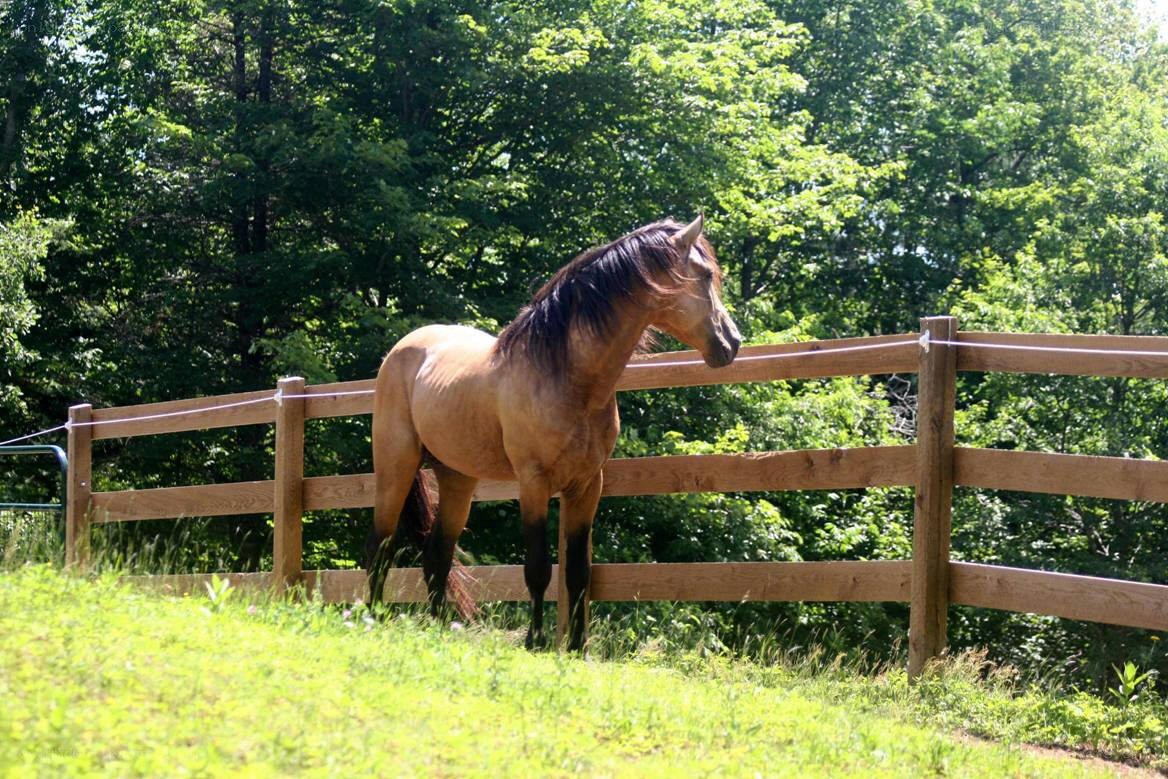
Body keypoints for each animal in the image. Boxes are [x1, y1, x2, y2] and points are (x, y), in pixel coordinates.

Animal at [366, 215, 741, 650]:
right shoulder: (534, 484)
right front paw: (535, 640)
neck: (566, 377)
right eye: (705, 275)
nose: (731, 342)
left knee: (436, 556)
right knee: (381, 546)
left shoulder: (587, 485)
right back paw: (370, 616)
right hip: (396, 466)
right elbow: (539, 567)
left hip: (457, 477)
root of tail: (403, 348)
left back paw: (441, 628)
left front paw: (577, 646)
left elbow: (578, 570)